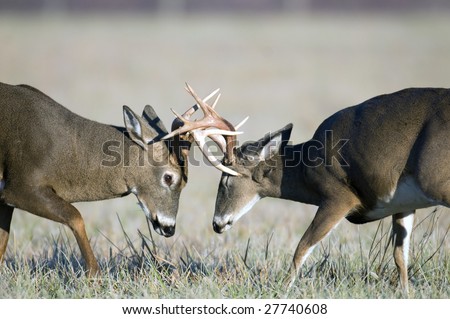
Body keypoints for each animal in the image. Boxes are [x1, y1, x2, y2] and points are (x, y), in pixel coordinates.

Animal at [0, 82, 227, 278]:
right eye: (169, 177)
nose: (169, 228)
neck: (69, 153)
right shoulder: (20, 185)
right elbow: (75, 216)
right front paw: (94, 275)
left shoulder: (5, 197)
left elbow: (3, 242)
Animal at [170, 87, 450, 296]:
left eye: (226, 178)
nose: (217, 223)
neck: (305, 166)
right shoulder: (403, 203)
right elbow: (401, 256)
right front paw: (405, 294)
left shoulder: (339, 196)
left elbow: (301, 248)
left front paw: (281, 291)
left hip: (436, 179)